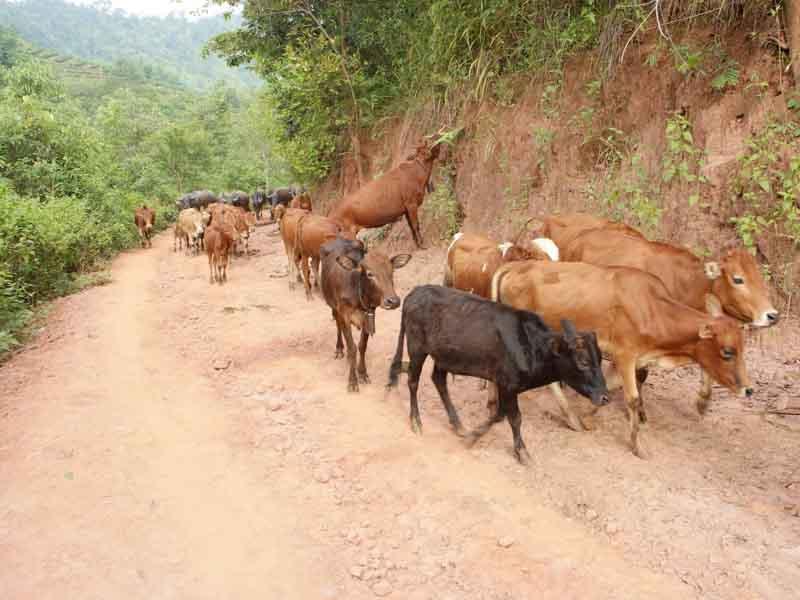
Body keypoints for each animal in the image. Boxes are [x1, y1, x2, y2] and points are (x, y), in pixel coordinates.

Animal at [318, 239, 410, 394]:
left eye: (391, 271)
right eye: (369, 274)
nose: (393, 301)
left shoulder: (369, 315)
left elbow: (362, 346)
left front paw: (362, 373)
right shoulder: (344, 314)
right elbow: (352, 347)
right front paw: (352, 381)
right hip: (333, 306)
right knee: (338, 325)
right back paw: (339, 349)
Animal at [490, 260, 752, 458]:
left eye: (743, 347)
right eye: (727, 351)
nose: (748, 390)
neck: (654, 309)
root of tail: (515, 266)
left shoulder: (629, 360)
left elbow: (610, 386)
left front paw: (588, 418)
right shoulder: (626, 355)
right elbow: (633, 399)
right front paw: (637, 446)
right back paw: (567, 416)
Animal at [560, 227, 780, 414]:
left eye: (760, 279)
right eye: (738, 279)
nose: (772, 315)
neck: (690, 285)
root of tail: (580, 236)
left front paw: (703, 400)